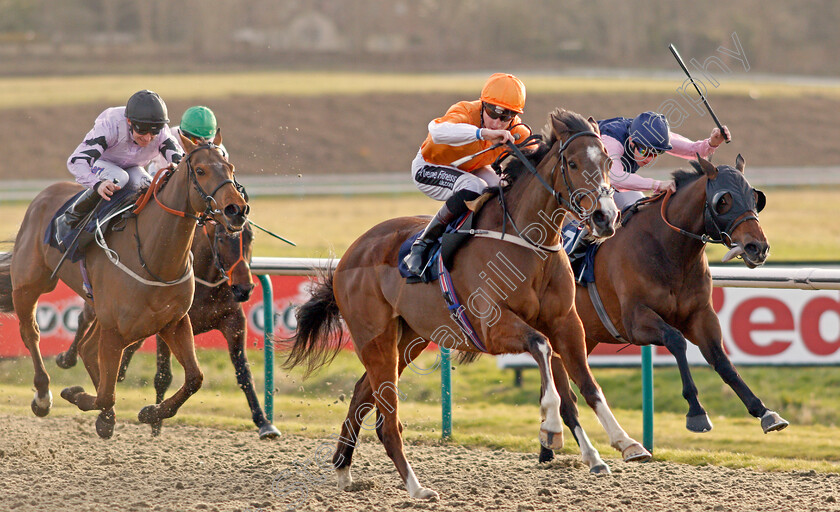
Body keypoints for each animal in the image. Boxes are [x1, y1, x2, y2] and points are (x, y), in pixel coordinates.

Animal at [0, 131, 248, 436]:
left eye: (230, 168)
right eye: (200, 170)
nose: (237, 209)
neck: (154, 257)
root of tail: (42, 196)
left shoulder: (172, 322)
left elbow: (194, 378)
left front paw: (150, 412)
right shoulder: (116, 330)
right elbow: (106, 393)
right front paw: (82, 399)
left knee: (87, 348)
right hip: (30, 284)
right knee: (31, 333)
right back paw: (43, 396)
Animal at [57, 221, 284, 440]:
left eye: (250, 237)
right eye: (221, 238)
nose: (244, 289)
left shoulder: (233, 322)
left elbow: (243, 373)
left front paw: (264, 423)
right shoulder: (164, 325)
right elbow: (163, 376)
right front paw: (155, 422)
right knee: (85, 320)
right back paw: (68, 358)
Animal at [282, 109, 648, 500]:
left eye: (609, 162)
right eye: (574, 163)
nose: (606, 218)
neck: (526, 240)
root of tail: (350, 254)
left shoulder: (566, 322)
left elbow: (586, 385)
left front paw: (622, 444)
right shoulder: (492, 326)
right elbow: (541, 347)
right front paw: (549, 428)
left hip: (409, 339)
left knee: (363, 395)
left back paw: (344, 470)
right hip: (374, 339)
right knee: (387, 418)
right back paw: (416, 488)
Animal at [540, 154, 784, 462]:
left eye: (755, 198)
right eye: (724, 200)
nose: (757, 248)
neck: (668, 249)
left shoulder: (700, 315)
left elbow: (721, 360)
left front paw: (764, 412)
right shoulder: (635, 321)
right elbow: (676, 341)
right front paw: (696, 412)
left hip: (584, 336)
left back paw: (547, 447)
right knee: (564, 394)